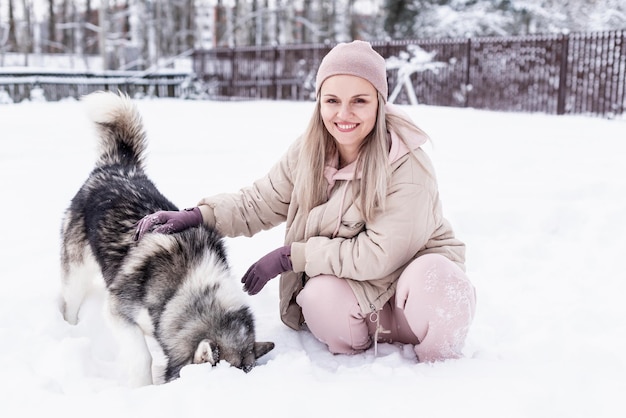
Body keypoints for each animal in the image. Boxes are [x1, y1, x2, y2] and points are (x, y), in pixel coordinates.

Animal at [59, 90, 272, 386]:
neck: (181, 288)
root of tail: (117, 166)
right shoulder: (117, 311)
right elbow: (142, 357)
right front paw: (143, 387)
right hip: (77, 273)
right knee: (70, 302)